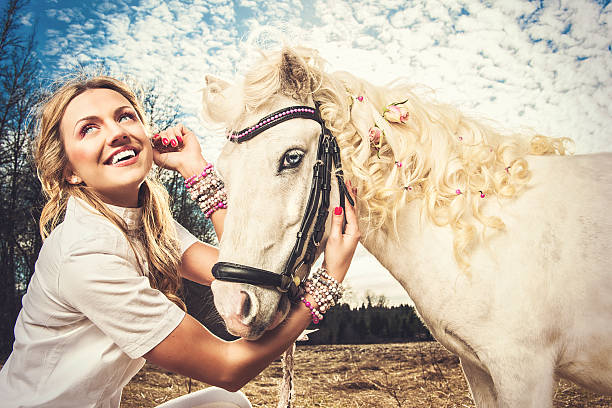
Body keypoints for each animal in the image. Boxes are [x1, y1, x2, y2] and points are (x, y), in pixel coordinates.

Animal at [200, 46, 608, 406]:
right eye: (225, 173)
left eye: (292, 157)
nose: (231, 305)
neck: (472, 228)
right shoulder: (478, 367)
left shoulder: (522, 367)